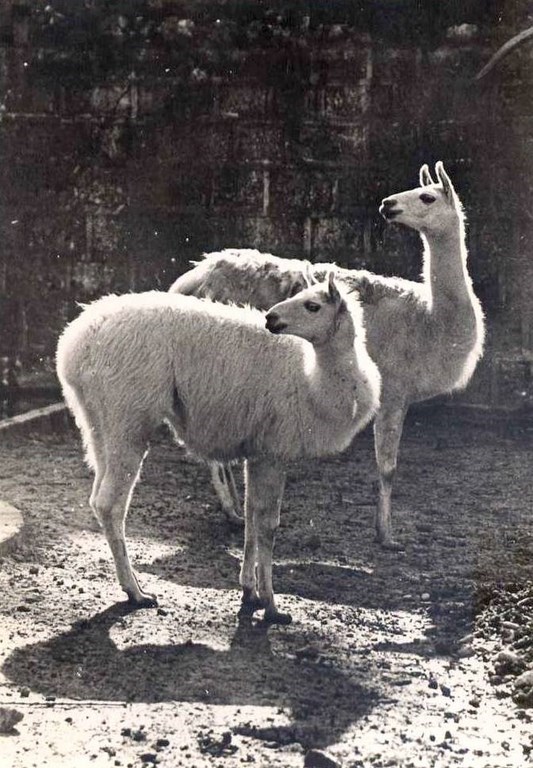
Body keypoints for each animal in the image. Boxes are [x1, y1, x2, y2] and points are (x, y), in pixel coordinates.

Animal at [56, 274, 381, 624]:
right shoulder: (274, 453)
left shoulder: (258, 451)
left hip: (97, 423)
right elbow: (268, 526)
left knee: (97, 496)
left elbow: (251, 519)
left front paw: (250, 591)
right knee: (110, 504)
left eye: (312, 305)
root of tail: (75, 342)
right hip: (127, 418)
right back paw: (136, 592)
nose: (271, 318)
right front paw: (272, 607)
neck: (313, 381)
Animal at [171, 162, 485, 549]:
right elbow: (388, 467)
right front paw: (387, 536)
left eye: (426, 195)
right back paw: (233, 510)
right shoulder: (393, 391)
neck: (428, 319)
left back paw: (232, 511)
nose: (387, 204)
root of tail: (192, 279)